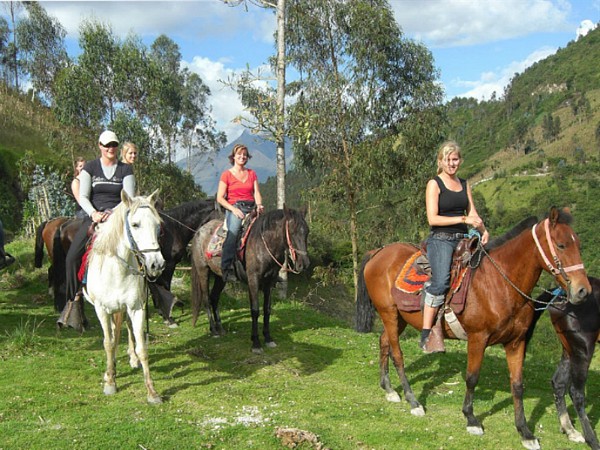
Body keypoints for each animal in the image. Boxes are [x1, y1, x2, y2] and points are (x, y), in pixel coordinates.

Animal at [82, 190, 165, 404]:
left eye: (158, 225)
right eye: (135, 224)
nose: (156, 264)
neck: (116, 270)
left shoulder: (136, 308)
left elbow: (142, 347)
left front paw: (152, 392)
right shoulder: (101, 310)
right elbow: (108, 343)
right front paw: (110, 381)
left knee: (125, 328)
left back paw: (131, 358)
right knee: (112, 334)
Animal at [191, 207, 310, 352]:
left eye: (307, 232)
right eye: (292, 232)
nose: (304, 264)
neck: (264, 245)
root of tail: (199, 231)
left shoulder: (269, 283)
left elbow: (267, 309)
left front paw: (268, 338)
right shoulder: (253, 281)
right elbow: (255, 310)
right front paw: (256, 342)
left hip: (220, 277)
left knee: (214, 298)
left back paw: (220, 328)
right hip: (203, 270)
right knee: (206, 299)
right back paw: (213, 330)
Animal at [356, 208, 592, 450]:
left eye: (578, 244)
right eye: (561, 245)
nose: (583, 290)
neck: (500, 284)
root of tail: (379, 251)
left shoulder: (516, 342)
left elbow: (517, 385)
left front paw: (525, 432)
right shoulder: (478, 339)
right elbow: (472, 378)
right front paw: (471, 419)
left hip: (399, 318)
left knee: (384, 342)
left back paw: (389, 388)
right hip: (389, 314)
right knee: (397, 354)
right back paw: (413, 401)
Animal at [528, 276, 600, 448]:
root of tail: (560, 294)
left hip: (569, 349)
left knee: (559, 383)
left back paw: (569, 430)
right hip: (582, 350)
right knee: (576, 392)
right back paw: (592, 439)